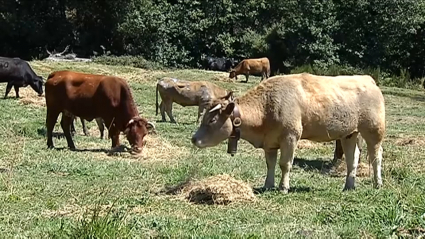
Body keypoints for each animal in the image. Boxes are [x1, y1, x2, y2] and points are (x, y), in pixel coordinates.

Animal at [192, 73, 384, 192]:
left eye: (212, 120)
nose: (194, 139)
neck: (266, 106)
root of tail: (367, 79)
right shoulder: (270, 142)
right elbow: (270, 164)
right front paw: (268, 185)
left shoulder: (290, 137)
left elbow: (285, 164)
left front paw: (283, 187)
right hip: (349, 134)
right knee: (353, 158)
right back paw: (349, 185)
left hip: (374, 131)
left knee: (376, 157)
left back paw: (377, 183)